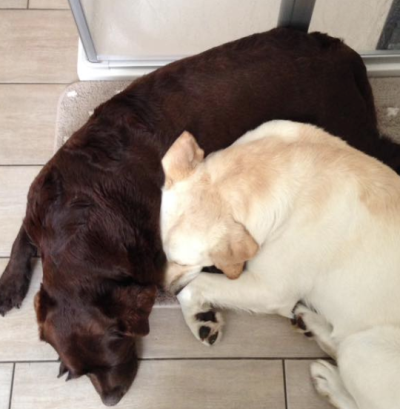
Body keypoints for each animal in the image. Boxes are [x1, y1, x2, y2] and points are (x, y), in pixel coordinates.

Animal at [161, 121, 400, 409]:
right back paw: (313, 324)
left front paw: (198, 318)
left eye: (182, 262)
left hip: (364, 348)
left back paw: (329, 381)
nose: (163, 289)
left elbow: (195, 285)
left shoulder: (270, 290)